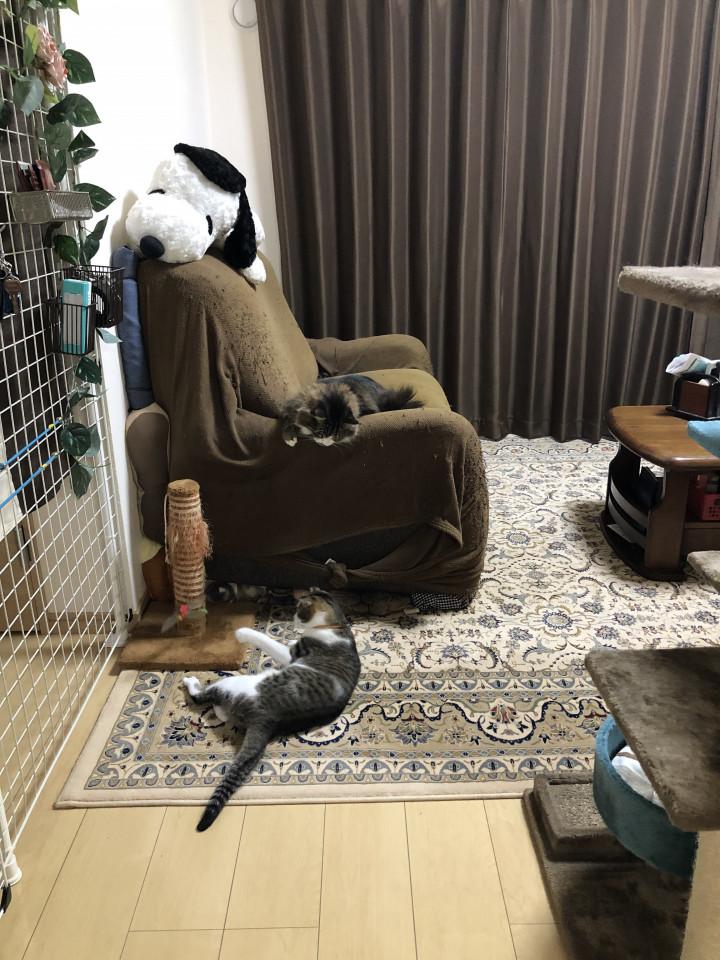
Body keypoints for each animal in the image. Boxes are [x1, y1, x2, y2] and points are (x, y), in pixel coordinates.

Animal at [183, 588, 360, 831]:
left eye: (298, 609)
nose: (293, 617)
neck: (337, 626)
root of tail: (266, 721)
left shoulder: (292, 653)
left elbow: (267, 640)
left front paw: (241, 633)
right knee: (220, 711)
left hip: (234, 684)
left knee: (203, 696)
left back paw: (191, 681)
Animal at [280, 374, 423, 447]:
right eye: (320, 432)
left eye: (337, 435)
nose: (324, 444)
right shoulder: (292, 406)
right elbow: (287, 421)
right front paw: (290, 439)